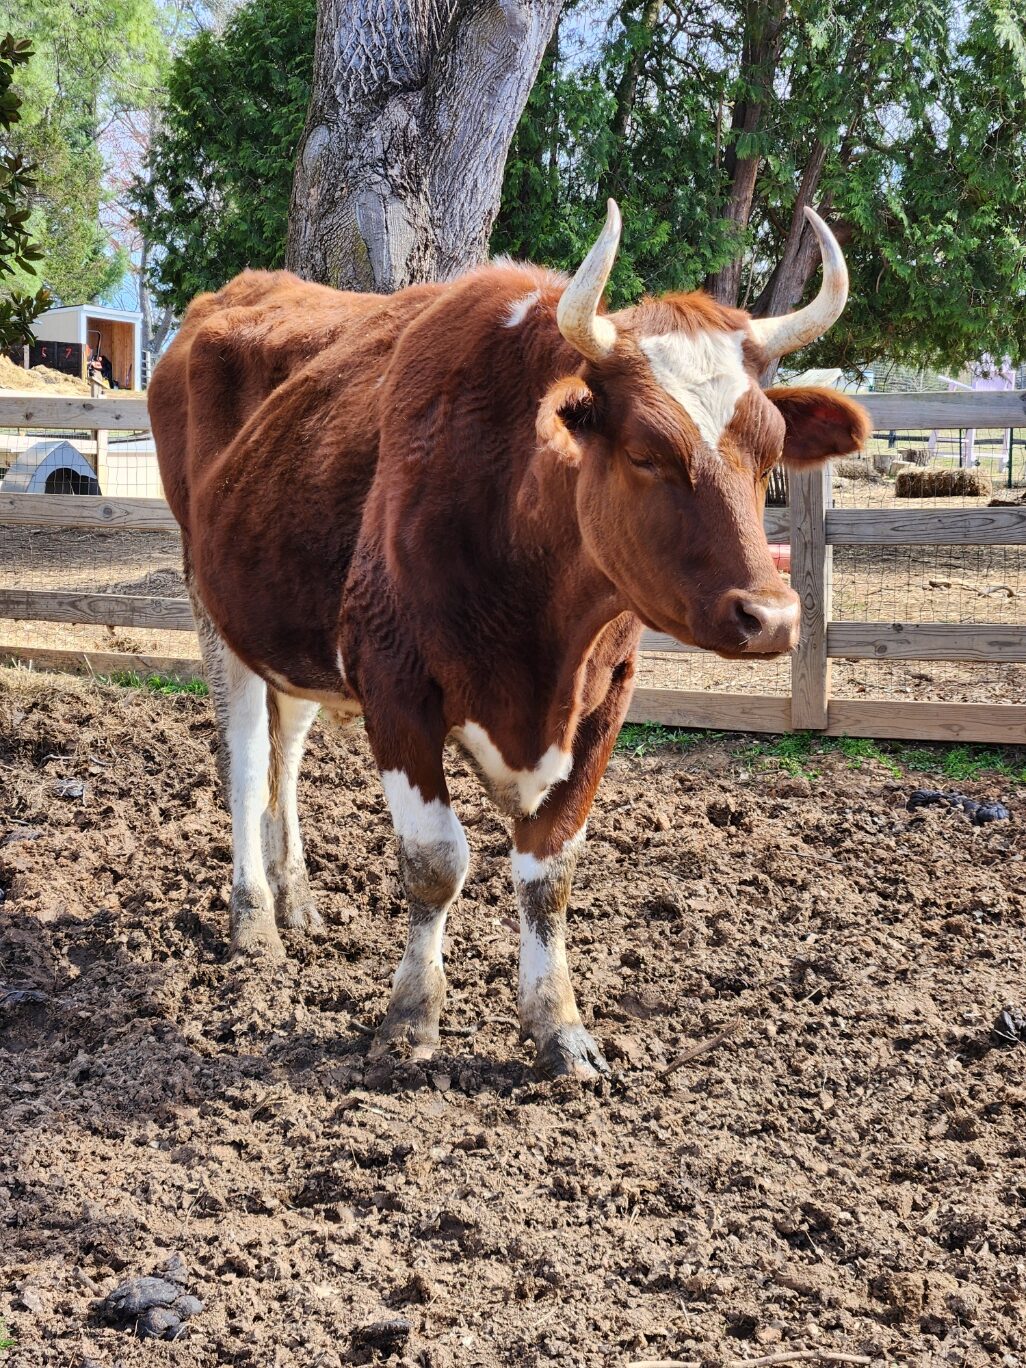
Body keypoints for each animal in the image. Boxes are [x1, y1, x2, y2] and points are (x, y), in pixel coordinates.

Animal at [149, 200, 870, 1079]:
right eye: (646, 451)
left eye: (769, 453)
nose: (772, 617)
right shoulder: (396, 685)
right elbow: (435, 865)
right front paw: (410, 1019)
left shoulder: (604, 699)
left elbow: (547, 874)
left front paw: (558, 1025)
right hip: (212, 605)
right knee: (247, 759)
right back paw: (254, 920)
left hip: (291, 632)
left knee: (286, 754)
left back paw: (298, 901)